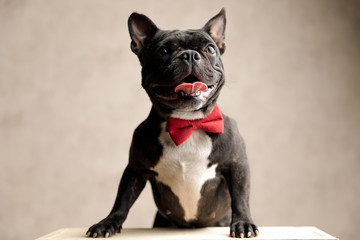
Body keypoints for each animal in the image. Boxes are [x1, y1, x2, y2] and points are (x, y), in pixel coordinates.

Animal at [86, 8, 258, 238]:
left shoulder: (237, 165)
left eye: (210, 49)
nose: (190, 54)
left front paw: (243, 223)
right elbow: (122, 199)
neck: (187, 124)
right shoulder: (135, 169)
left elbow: (241, 197)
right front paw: (108, 223)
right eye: (163, 51)